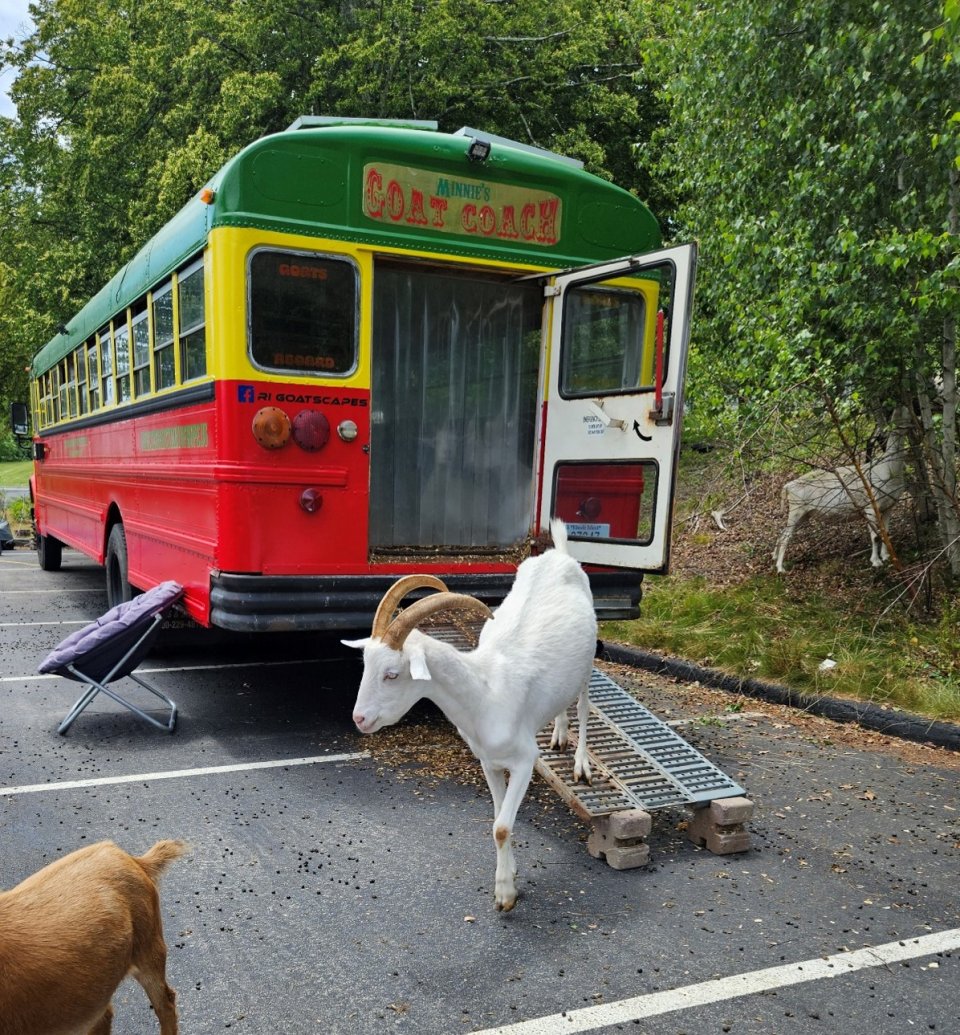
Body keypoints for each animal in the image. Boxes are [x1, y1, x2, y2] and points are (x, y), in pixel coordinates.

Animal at [341, 521, 595, 910]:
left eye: (392, 674)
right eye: (365, 663)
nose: (360, 719)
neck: (484, 693)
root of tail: (560, 555)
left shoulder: (524, 760)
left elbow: (502, 826)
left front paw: (505, 894)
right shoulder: (488, 761)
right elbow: (497, 818)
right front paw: (511, 873)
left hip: (590, 661)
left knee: (583, 704)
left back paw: (581, 762)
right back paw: (559, 733)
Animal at [773, 407, 906, 575]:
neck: (889, 469)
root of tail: (788, 486)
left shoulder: (889, 505)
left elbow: (886, 532)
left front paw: (887, 556)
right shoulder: (870, 506)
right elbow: (875, 536)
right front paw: (876, 562)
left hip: (804, 514)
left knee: (783, 532)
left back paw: (774, 557)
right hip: (796, 510)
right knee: (786, 536)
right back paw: (780, 568)